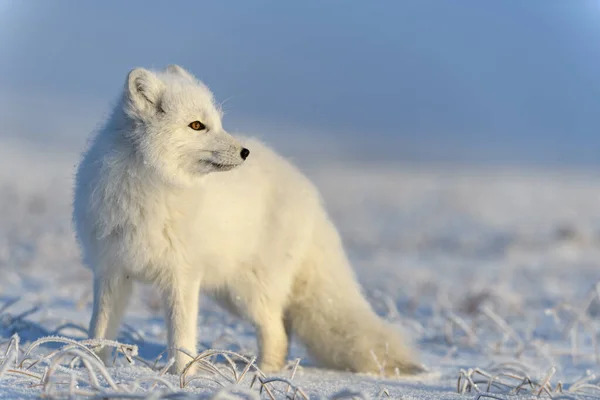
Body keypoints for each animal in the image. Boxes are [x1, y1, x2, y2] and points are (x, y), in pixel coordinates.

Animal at [72, 65, 424, 376]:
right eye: (197, 125)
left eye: (218, 122)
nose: (244, 152)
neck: (152, 186)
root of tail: (309, 194)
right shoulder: (111, 271)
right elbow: (99, 328)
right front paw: (92, 366)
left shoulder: (182, 275)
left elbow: (181, 335)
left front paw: (183, 375)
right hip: (230, 293)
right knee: (284, 328)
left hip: (248, 292)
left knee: (277, 332)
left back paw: (263, 373)